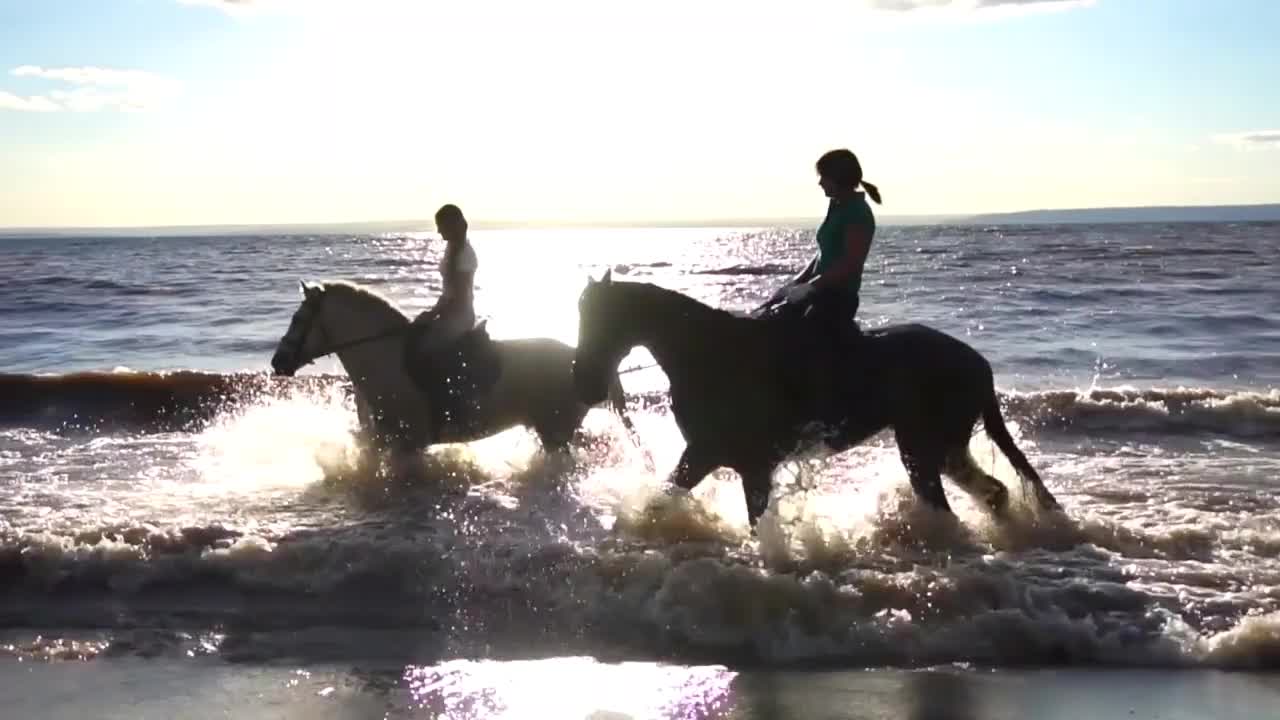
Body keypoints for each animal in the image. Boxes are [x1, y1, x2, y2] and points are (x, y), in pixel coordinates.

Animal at [570, 269, 1059, 527]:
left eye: (601, 318)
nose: (584, 384)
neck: (709, 353)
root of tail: (978, 364)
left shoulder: (732, 459)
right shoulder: (717, 459)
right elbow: (667, 496)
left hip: (923, 448)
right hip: (945, 448)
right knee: (993, 492)